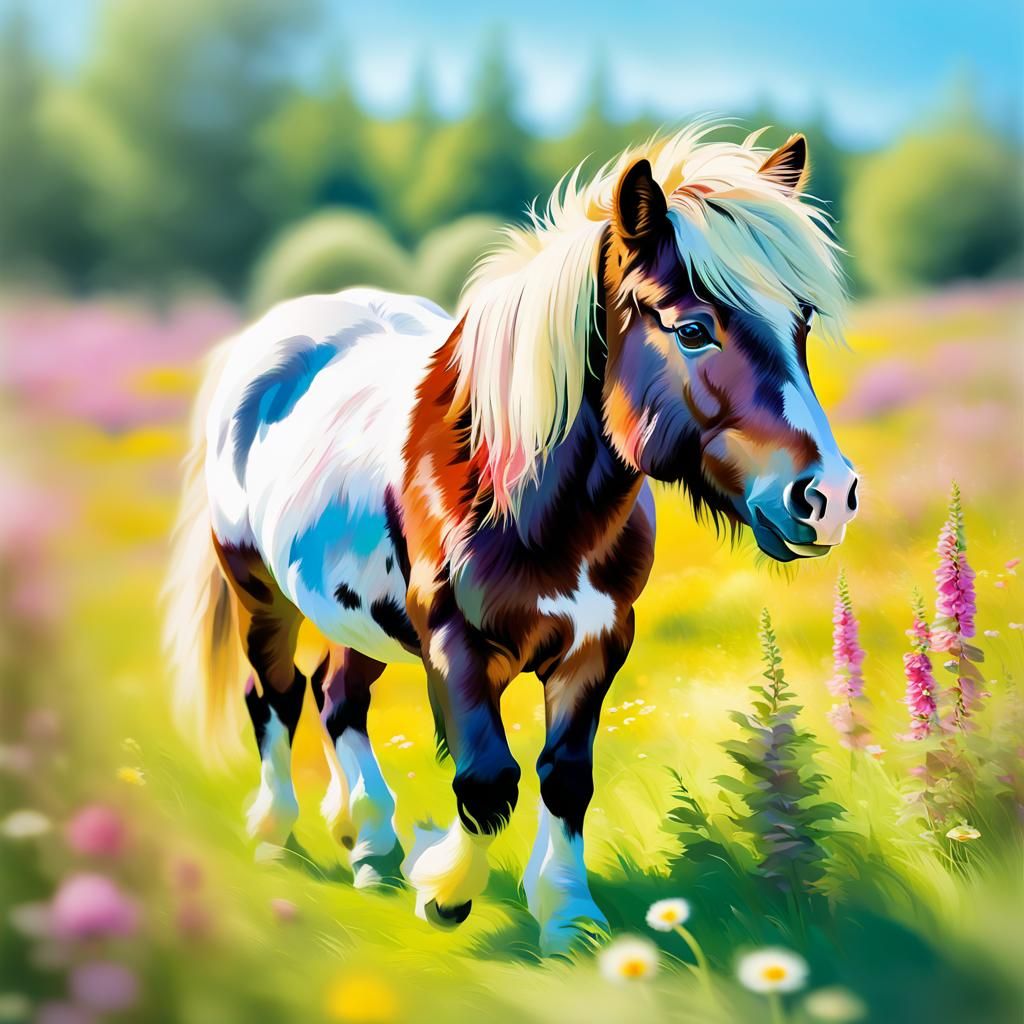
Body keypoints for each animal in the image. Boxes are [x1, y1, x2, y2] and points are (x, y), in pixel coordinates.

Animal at [164, 123, 858, 955]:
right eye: (693, 329)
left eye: (802, 323)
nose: (829, 497)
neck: (522, 493)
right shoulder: (456, 644)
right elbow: (487, 780)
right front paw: (445, 891)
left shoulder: (598, 644)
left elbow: (565, 776)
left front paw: (567, 914)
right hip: (260, 591)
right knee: (275, 695)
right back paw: (277, 834)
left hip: (356, 612)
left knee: (338, 699)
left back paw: (370, 844)